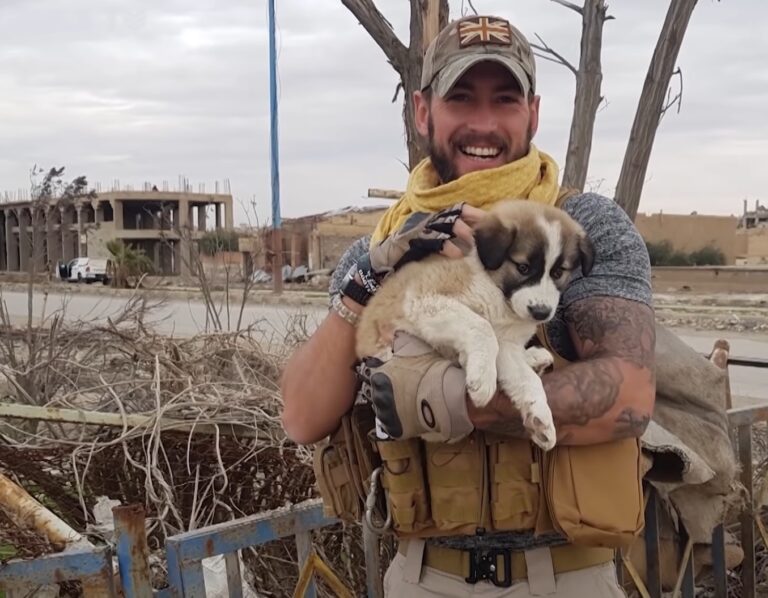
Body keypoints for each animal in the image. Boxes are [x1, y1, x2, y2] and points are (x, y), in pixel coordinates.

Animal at [356, 199, 596, 452]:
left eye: (558, 272)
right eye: (523, 268)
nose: (541, 312)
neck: (497, 291)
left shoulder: (507, 344)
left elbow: (526, 379)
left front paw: (540, 417)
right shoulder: (424, 301)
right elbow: (482, 327)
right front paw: (482, 378)